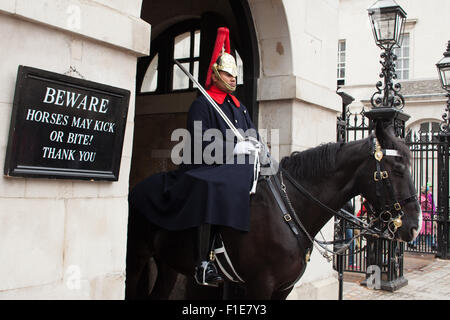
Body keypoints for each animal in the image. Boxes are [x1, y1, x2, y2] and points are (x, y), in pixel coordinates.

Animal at [125, 123, 422, 300]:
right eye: (398, 169)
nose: (414, 227)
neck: (289, 209)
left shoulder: (283, 288)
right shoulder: (259, 285)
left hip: (168, 264)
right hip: (136, 257)